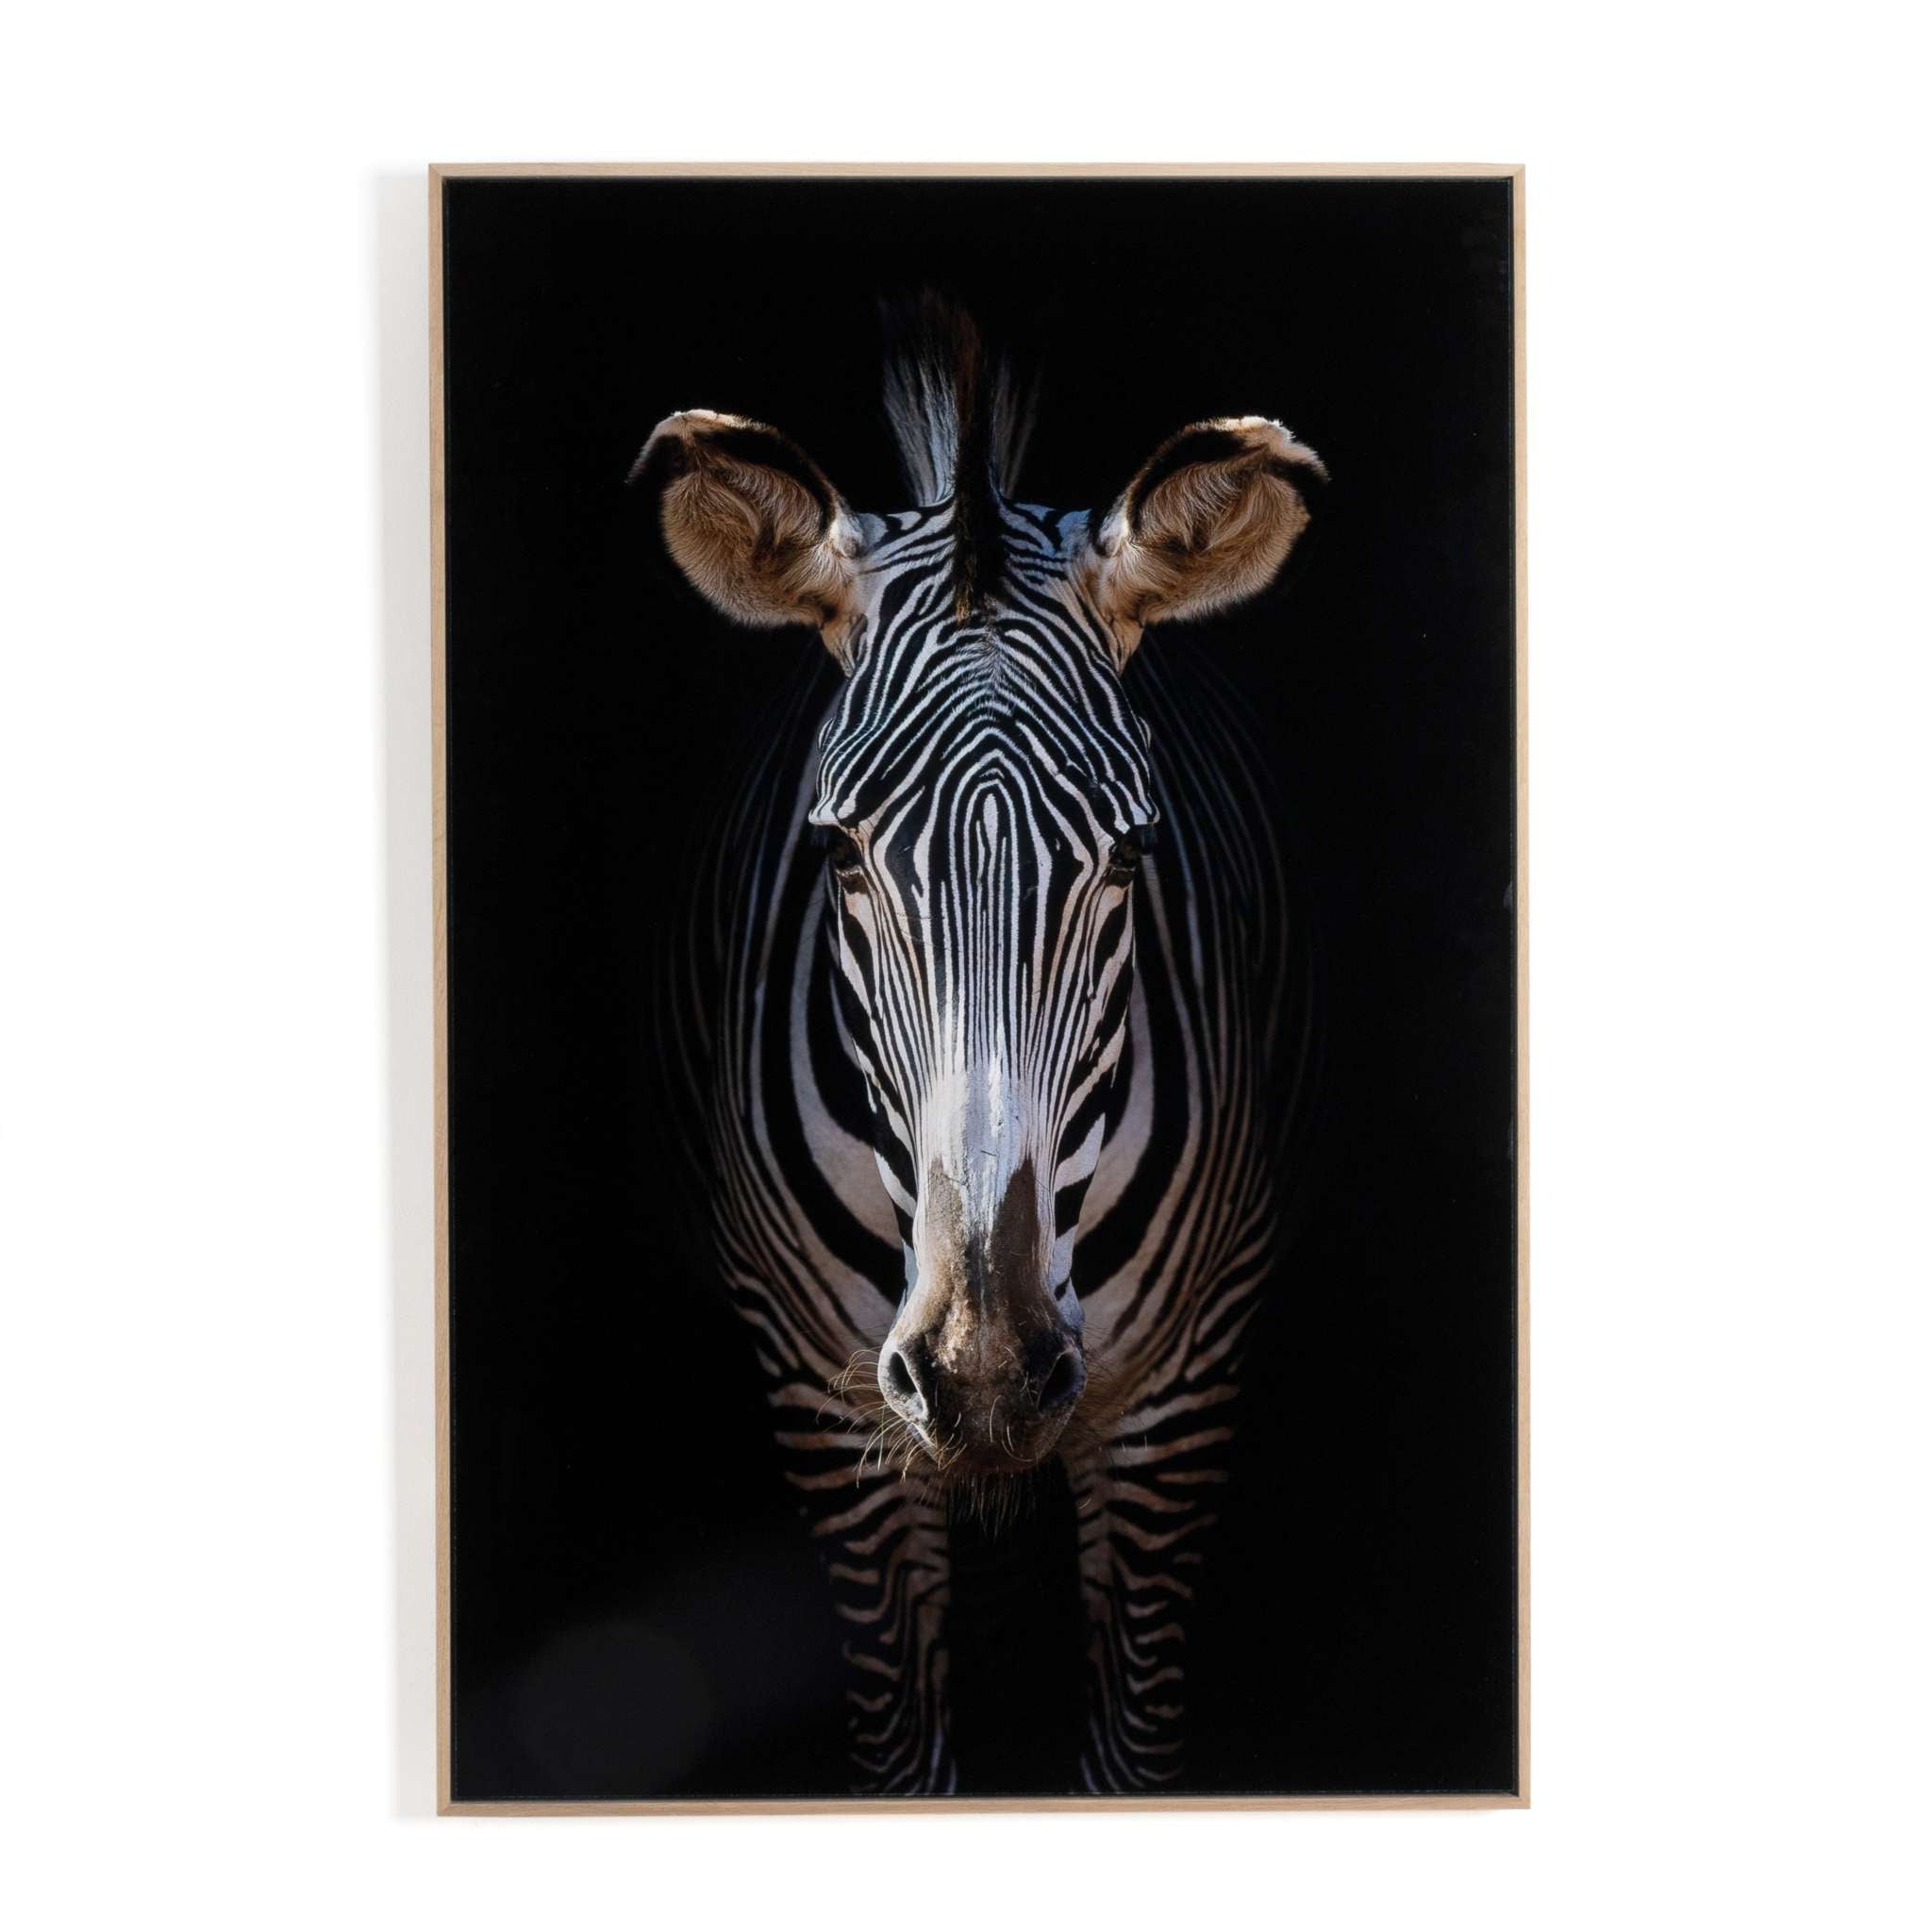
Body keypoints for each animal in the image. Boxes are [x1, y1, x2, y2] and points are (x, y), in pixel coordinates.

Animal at [632, 300, 1324, 1795]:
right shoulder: (822, 1406)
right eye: (838, 854)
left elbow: (1130, 1750)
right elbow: (905, 1754)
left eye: (1130, 855)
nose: (983, 1367)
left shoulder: (1177, 1400)